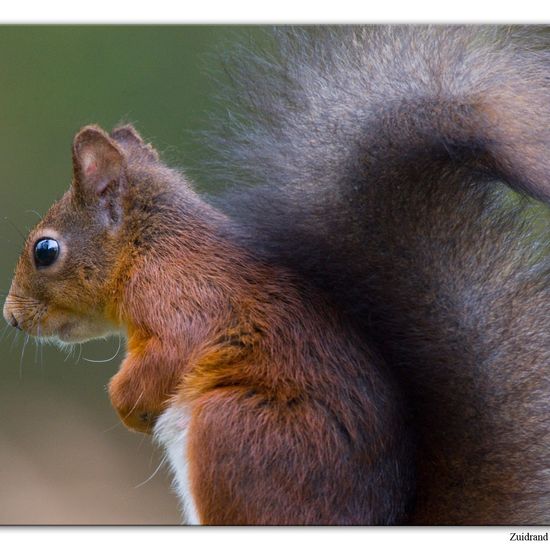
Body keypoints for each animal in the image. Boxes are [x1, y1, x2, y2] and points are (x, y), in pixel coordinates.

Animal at [1, 24, 550, 528]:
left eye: (45, 250)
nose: (11, 318)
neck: (151, 249)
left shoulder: (185, 300)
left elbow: (169, 355)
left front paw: (125, 403)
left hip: (236, 432)